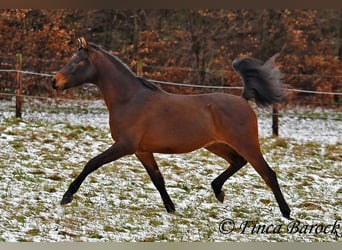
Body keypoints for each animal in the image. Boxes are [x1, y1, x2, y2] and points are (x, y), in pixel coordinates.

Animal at [52, 37, 292, 219]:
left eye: (77, 62)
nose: (55, 82)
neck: (129, 99)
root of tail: (243, 100)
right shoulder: (142, 151)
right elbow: (158, 180)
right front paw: (171, 209)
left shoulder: (124, 146)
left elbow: (91, 164)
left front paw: (67, 196)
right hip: (215, 144)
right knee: (238, 161)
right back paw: (218, 190)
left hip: (246, 143)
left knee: (268, 173)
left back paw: (286, 213)